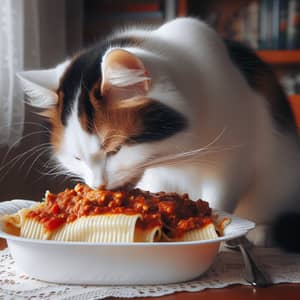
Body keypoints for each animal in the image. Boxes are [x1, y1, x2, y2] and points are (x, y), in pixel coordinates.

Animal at [17, 17, 300, 251]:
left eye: (114, 150)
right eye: (77, 158)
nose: (99, 186)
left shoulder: (234, 164)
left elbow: (218, 199)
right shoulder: (160, 175)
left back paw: (261, 232)